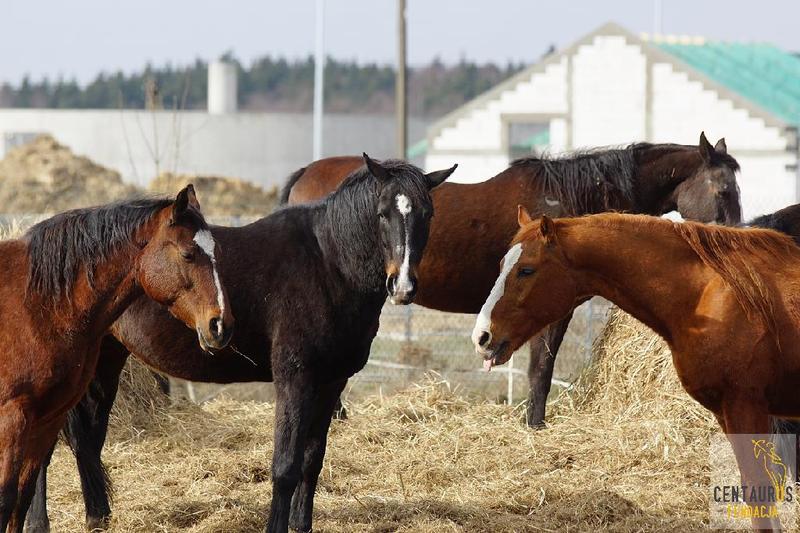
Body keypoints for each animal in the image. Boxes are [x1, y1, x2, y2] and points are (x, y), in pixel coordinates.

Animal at [0, 186, 233, 528]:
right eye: (188, 254)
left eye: (217, 253)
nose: (221, 325)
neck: (37, 305)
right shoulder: (13, 417)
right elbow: (7, 498)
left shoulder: (47, 418)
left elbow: (21, 497)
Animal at [28, 154, 454, 532]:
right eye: (382, 213)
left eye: (428, 214)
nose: (403, 286)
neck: (327, 263)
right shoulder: (295, 379)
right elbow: (286, 466)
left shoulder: (332, 382)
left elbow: (312, 459)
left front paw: (301, 525)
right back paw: (38, 523)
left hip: (106, 363)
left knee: (88, 440)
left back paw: (98, 517)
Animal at [472, 210, 800, 528]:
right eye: (502, 265)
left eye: (526, 270)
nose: (481, 336)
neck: (711, 295)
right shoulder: (729, 413)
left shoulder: (746, 407)